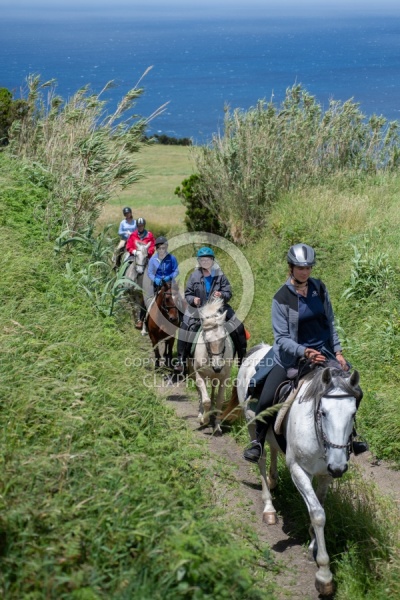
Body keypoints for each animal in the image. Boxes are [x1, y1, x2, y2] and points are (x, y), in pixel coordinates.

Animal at [188, 298, 234, 434]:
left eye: (224, 338)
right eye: (207, 341)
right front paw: (204, 420)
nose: (217, 367)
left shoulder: (225, 376)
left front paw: (217, 426)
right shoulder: (199, 374)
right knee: (200, 393)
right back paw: (201, 413)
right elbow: (206, 400)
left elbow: (219, 401)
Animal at [223, 342, 360, 596]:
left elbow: (319, 505)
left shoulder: (326, 474)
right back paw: (269, 508)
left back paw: (274, 479)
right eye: (323, 412)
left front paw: (313, 541)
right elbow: (318, 514)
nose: (339, 467)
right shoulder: (298, 470)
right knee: (260, 457)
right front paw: (324, 575)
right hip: (252, 425)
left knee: (274, 448)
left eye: (353, 413)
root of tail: (259, 348)